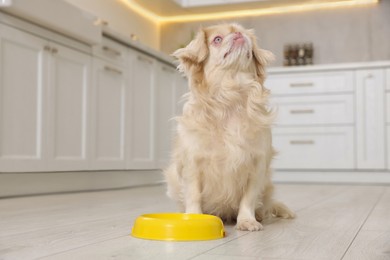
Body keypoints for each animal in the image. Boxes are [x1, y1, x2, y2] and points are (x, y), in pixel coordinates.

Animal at [165, 23, 296, 232]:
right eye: (217, 39)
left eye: (241, 31)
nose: (238, 34)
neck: (230, 97)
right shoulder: (192, 165)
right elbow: (193, 196)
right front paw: (193, 219)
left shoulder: (257, 165)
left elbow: (248, 199)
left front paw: (247, 220)